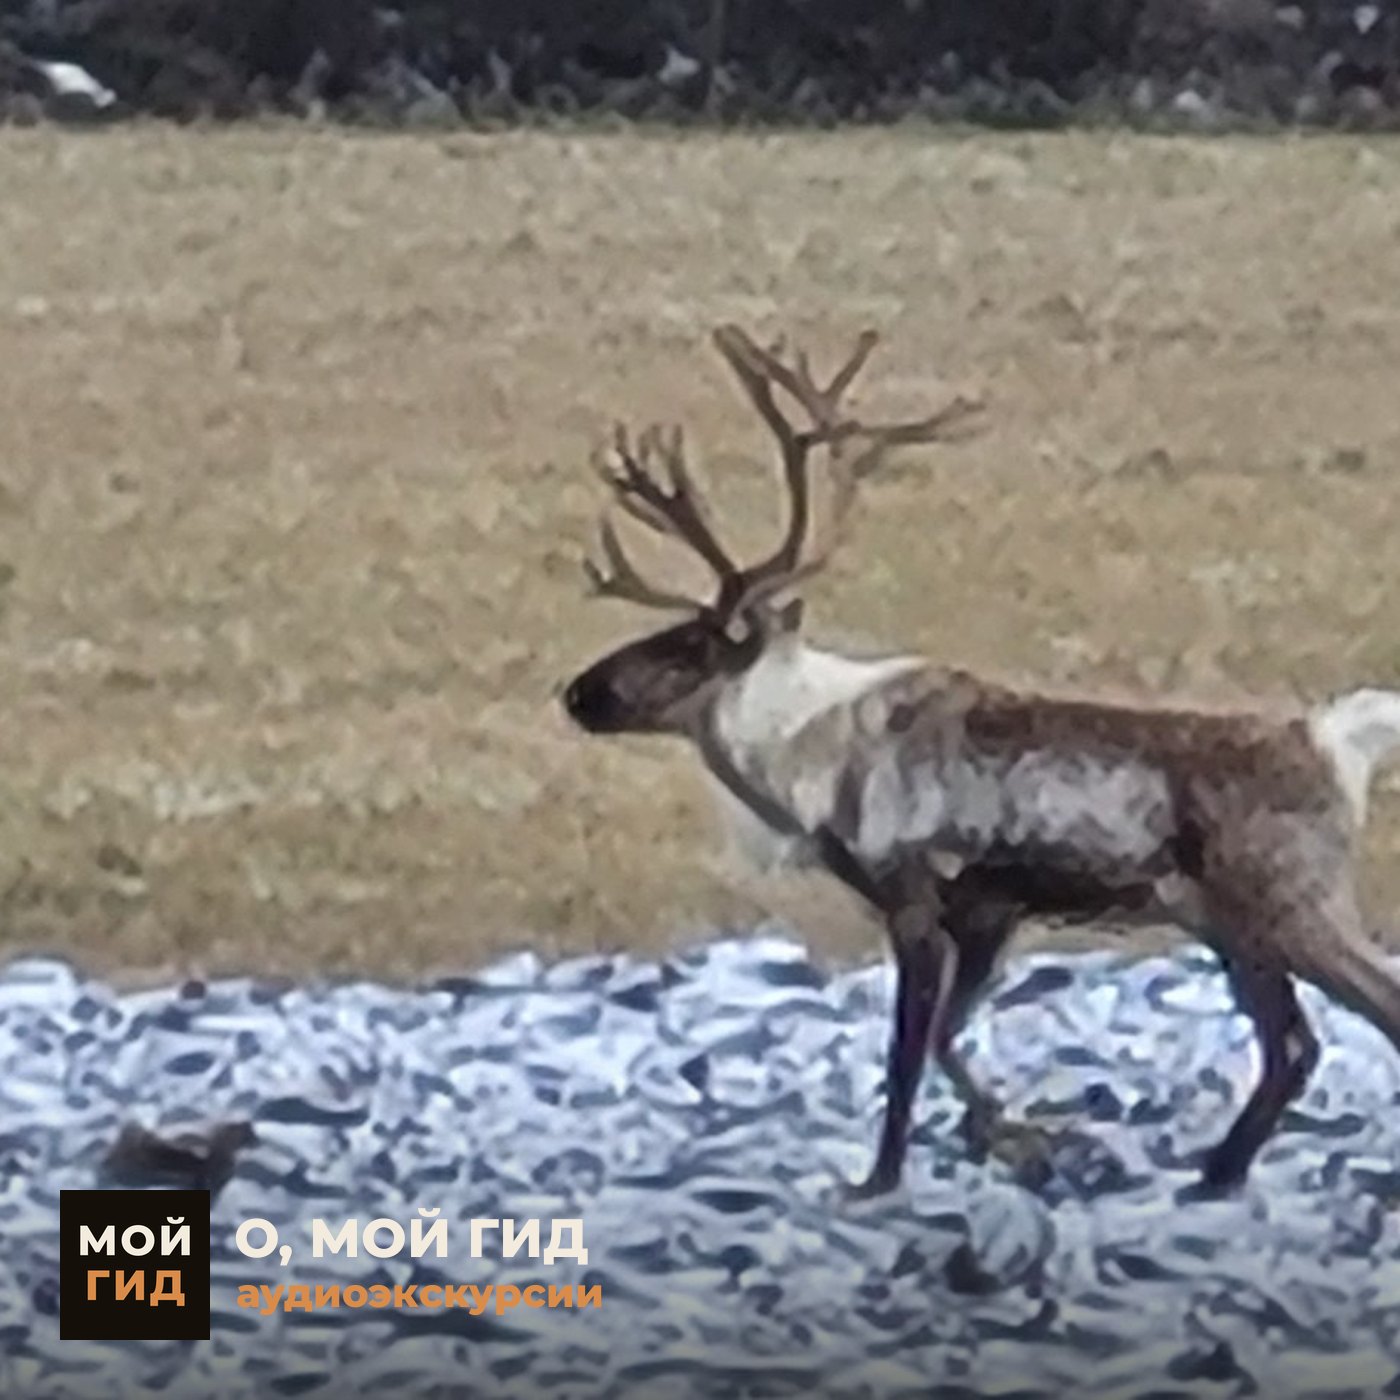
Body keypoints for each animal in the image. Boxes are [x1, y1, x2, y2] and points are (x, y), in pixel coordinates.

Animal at [560, 322, 1400, 1201]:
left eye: (685, 646)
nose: (578, 693)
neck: (805, 754)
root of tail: (1332, 742)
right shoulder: (989, 914)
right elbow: (946, 1036)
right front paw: (1012, 1139)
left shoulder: (913, 896)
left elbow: (908, 1048)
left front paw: (884, 1178)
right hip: (1227, 921)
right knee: (1291, 1044)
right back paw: (1214, 1174)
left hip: (1293, 902)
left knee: (1364, 1015)